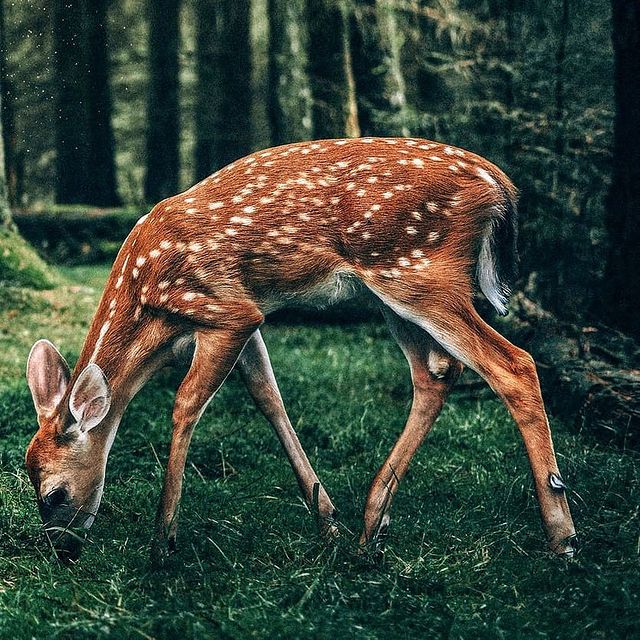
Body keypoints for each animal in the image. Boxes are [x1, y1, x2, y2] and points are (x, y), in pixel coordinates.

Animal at [25, 137, 577, 565]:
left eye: (54, 493)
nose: (62, 550)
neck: (149, 309)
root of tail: (499, 184)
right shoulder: (245, 317)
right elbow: (269, 398)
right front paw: (326, 519)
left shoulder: (226, 309)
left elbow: (185, 405)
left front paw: (163, 540)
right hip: (397, 289)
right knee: (436, 372)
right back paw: (369, 529)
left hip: (419, 270)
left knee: (513, 364)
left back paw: (562, 536)